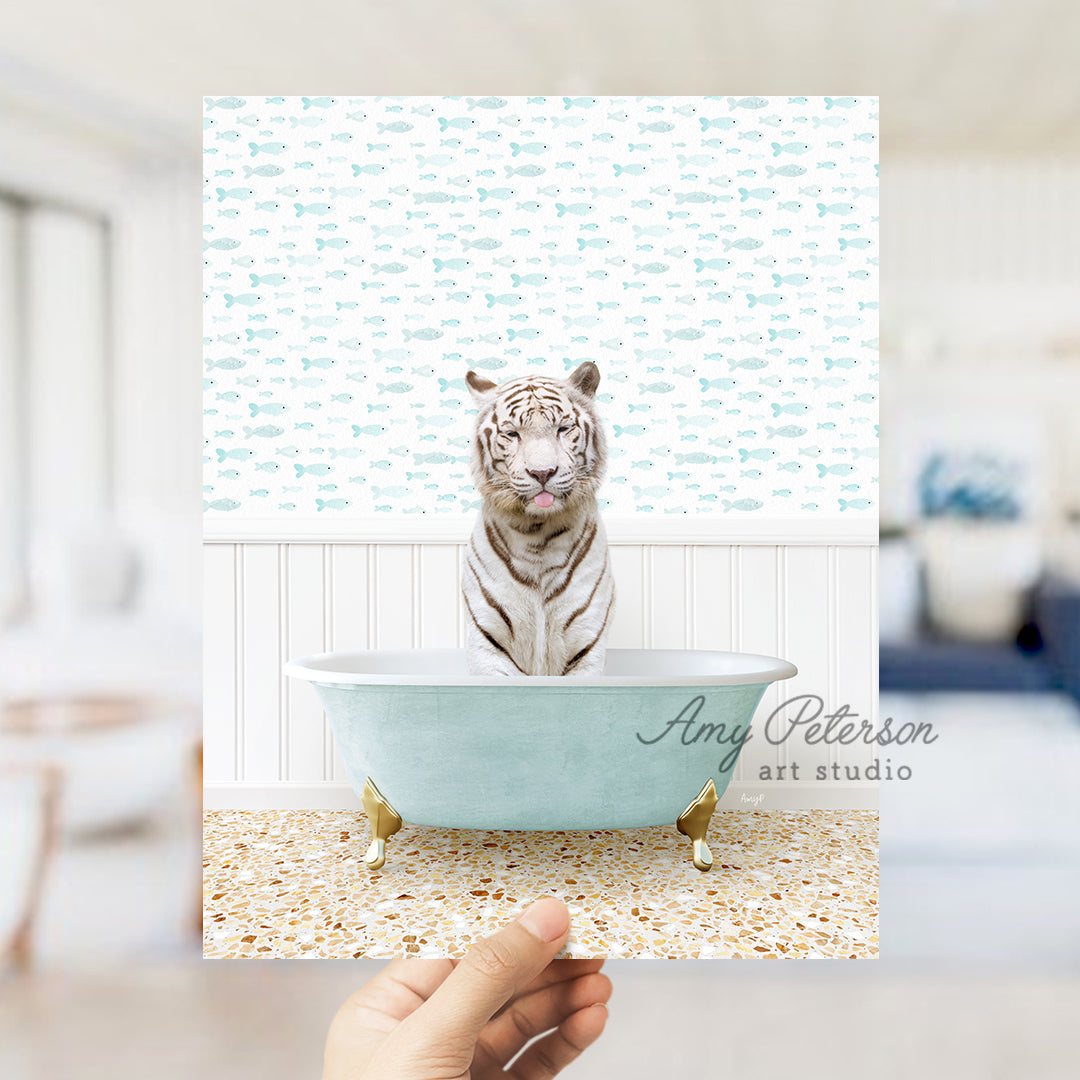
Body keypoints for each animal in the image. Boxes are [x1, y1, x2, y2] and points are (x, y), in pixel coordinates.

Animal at [462, 360, 617, 673]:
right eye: (512, 434)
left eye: (563, 429)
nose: (542, 473)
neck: (537, 534)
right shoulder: (488, 643)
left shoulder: (587, 641)